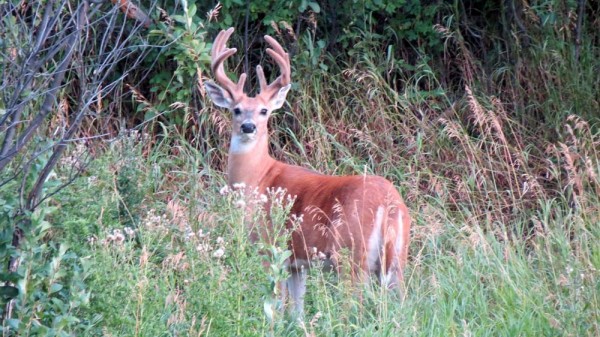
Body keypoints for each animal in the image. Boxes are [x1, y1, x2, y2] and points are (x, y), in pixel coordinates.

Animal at [204, 27, 410, 314]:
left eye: (264, 110)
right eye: (236, 109)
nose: (248, 126)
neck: (258, 178)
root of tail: (390, 204)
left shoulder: (271, 247)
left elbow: (274, 307)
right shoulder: (297, 263)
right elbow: (297, 311)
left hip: (350, 255)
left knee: (353, 305)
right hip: (399, 259)